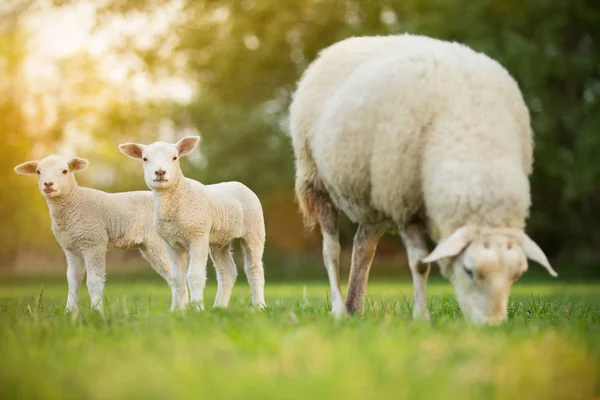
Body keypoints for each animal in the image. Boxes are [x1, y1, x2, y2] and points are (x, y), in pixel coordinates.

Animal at [14, 155, 178, 314]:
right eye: (38, 172)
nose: (48, 184)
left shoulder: (94, 242)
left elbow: (94, 280)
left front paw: (97, 310)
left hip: (159, 243)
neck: (74, 202)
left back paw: (179, 309)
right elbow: (73, 280)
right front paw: (68, 311)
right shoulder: (71, 248)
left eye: (65, 171)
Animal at [118, 137, 266, 310]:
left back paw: (259, 306)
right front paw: (178, 310)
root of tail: (238, 183)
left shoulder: (198, 236)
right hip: (219, 240)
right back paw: (219, 307)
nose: (160, 172)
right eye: (145, 159)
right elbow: (177, 278)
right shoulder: (170, 243)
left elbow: (194, 275)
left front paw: (197, 308)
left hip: (254, 230)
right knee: (227, 272)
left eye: (175, 158)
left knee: (254, 268)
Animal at [290, 32, 556, 324]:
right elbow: (419, 263)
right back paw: (340, 309)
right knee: (332, 250)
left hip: (374, 193)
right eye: (469, 270)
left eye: (517, 275)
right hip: (316, 179)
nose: (493, 326)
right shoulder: (404, 204)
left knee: (363, 247)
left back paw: (355, 307)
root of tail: (339, 46)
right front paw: (421, 316)